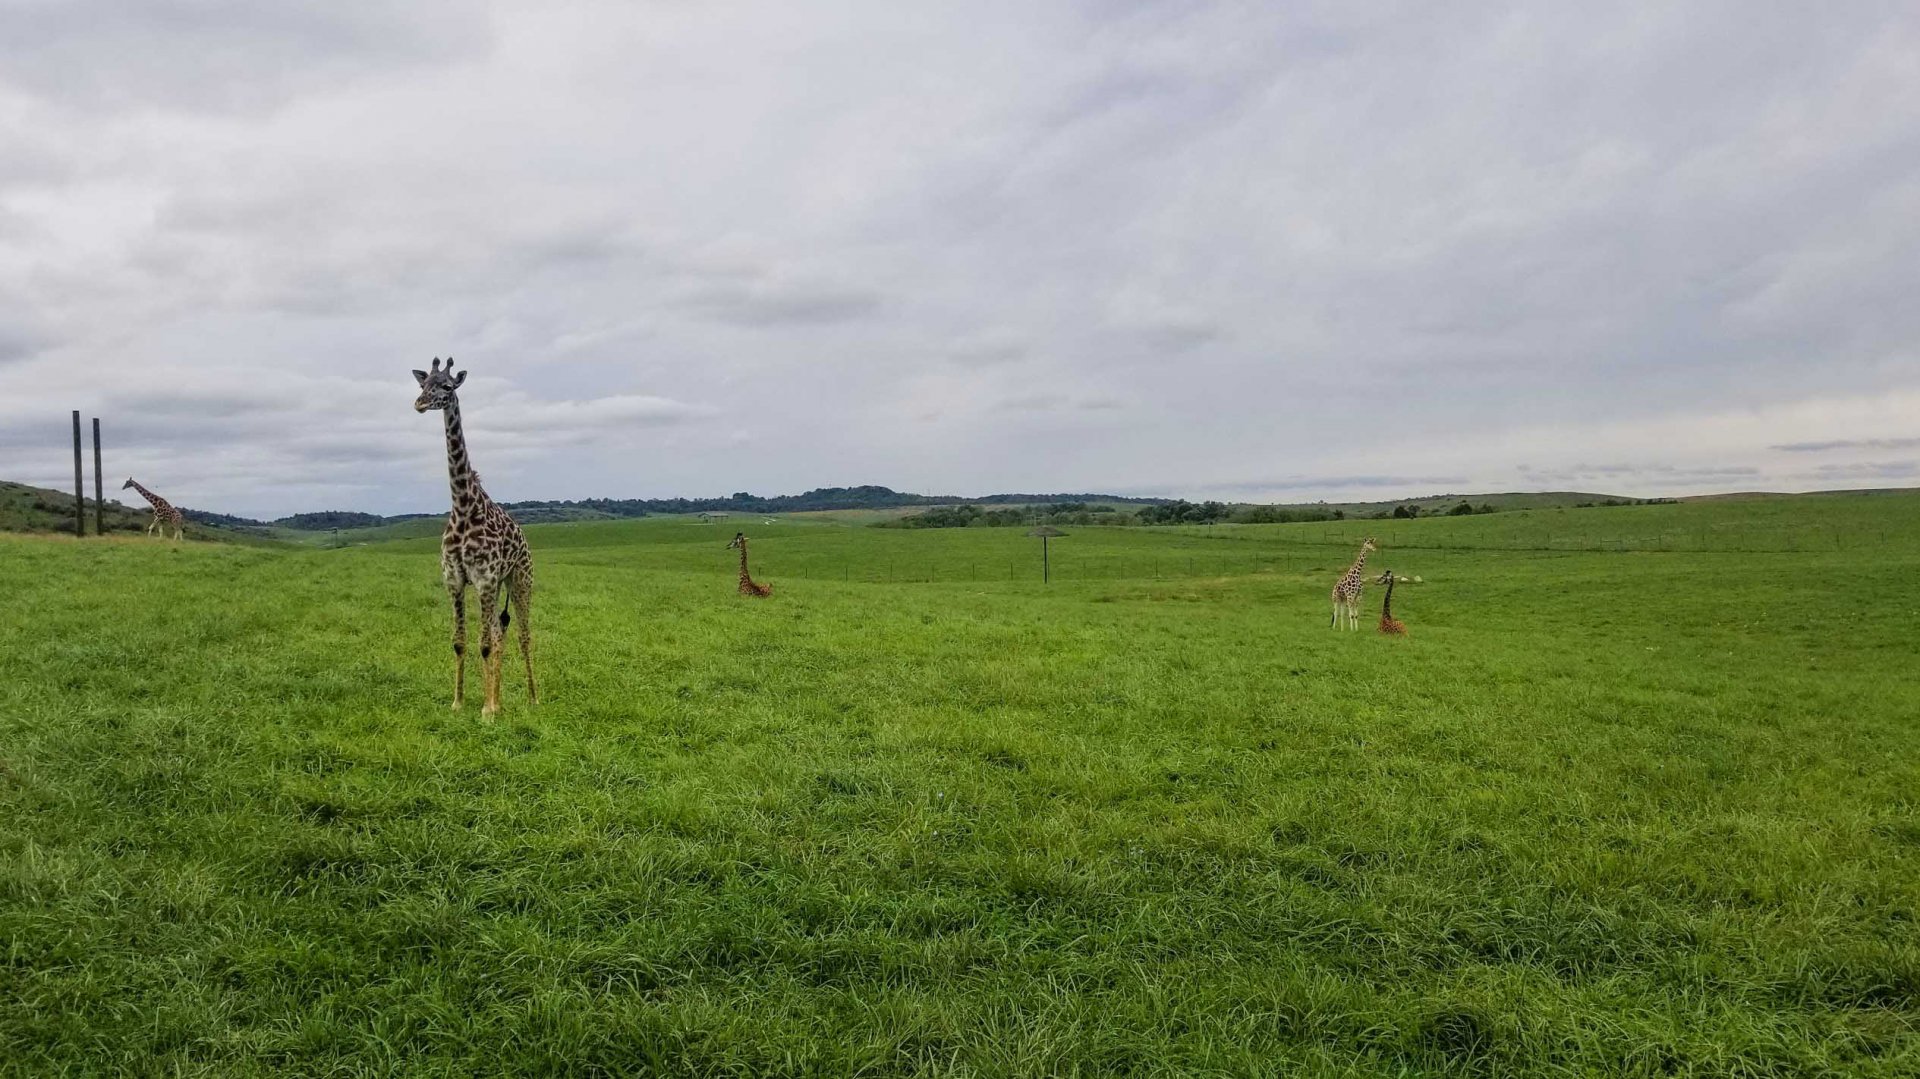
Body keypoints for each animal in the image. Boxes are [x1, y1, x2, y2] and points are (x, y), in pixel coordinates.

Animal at [413, 358, 536, 715]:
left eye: (447, 386)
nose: (420, 403)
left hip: (519, 579)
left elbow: (483, 645)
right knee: (498, 632)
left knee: (522, 635)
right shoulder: (454, 580)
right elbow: (460, 642)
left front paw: (486, 710)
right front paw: (460, 702)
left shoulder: (484, 579)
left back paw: (532, 698)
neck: (464, 507)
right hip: (499, 586)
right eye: (423, 385)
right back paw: (500, 698)